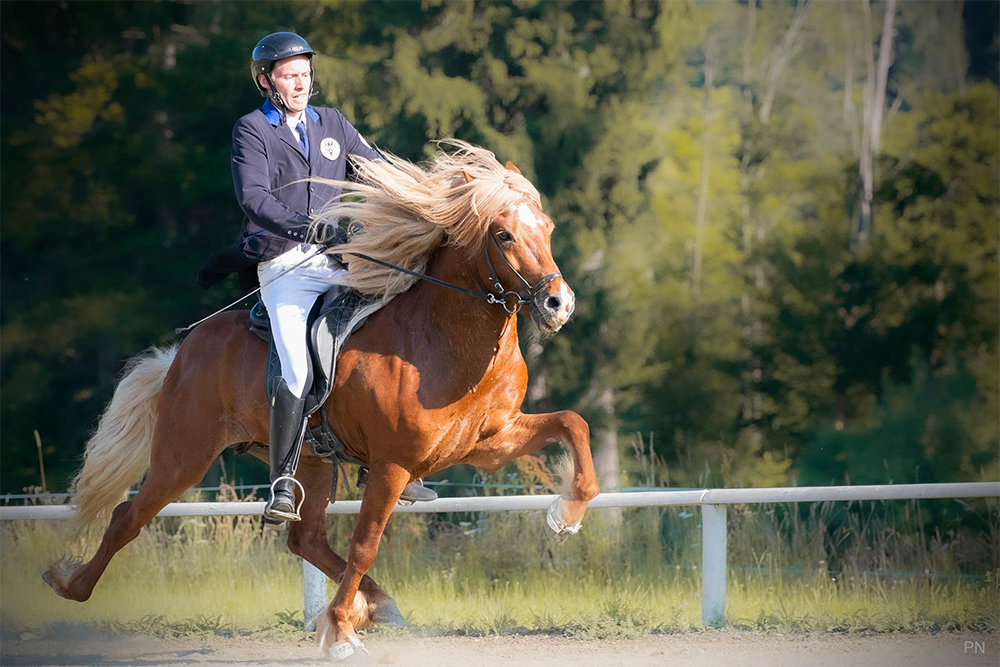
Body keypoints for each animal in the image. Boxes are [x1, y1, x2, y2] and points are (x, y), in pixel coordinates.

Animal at [43, 140, 596, 656]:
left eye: (546, 228)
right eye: (503, 235)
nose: (559, 304)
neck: (445, 338)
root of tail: (185, 349)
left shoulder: (488, 443)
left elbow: (573, 423)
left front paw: (564, 516)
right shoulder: (393, 465)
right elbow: (365, 543)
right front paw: (339, 632)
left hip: (306, 458)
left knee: (303, 537)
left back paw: (376, 604)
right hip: (185, 454)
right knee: (127, 518)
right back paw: (68, 584)